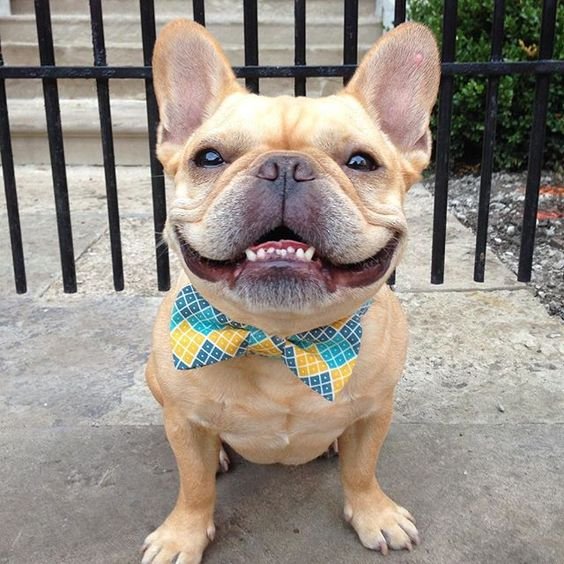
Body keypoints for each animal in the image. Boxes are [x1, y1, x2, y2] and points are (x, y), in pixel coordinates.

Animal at [142, 18, 440, 564]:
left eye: (361, 162)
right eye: (208, 157)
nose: (284, 166)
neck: (281, 340)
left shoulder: (376, 412)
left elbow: (362, 471)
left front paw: (375, 514)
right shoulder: (184, 423)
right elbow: (193, 486)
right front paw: (183, 535)